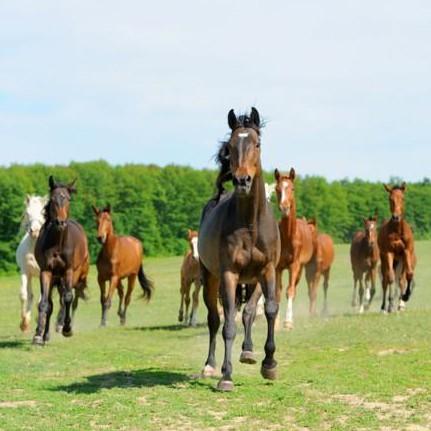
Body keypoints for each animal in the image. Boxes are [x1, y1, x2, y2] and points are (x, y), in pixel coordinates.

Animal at [33, 177, 89, 346]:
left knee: (67, 298)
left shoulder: (68, 271)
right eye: (52, 199)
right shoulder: (46, 271)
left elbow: (68, 298)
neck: (58, 243)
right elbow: (45, 304)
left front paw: (67, 329)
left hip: (72, 276)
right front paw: (38, 335)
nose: (60, 223)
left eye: (68, 199)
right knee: (51, 304)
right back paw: (45, 335)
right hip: (55, 278)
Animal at [198, 108, 280, 392]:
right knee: (215, 319)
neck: (250, 224)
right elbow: (227, 326)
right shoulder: (229, 274)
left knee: (245, 313)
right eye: (231, 147)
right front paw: (226, 376)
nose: (242, 180)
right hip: (211, 278)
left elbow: (268, 311)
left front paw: (269, 364)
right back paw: (211, 366)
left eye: (257, 144)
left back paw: (247, 352)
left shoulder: (267, 271)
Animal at [276, 170, 316, 330]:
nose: (284, 207)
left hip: (300, 268)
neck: (288, 236)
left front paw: (288, 322)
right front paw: (275, 321)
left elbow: (290, 291)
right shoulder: (278, 267)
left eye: (292, 188)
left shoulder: (294, 265)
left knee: (294, 288)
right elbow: (278, 291)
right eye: (277, 189)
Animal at [380, 184, 416, 312]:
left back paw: (400, 304)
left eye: (402, 198)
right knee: (385, 281)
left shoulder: (406, 252)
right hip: (385, 260)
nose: (396, 217)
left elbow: (408, 275)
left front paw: (405, 297)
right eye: (390, 199)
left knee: (400, 280)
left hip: (400, 261)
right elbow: (390, 278)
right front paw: (390, 305)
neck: (397, 231)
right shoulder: (389, 253)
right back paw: (384, 307)